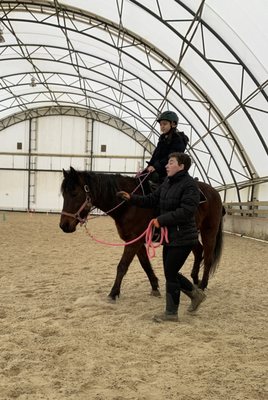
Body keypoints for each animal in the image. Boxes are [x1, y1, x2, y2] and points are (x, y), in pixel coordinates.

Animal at [59, 166, 224, 300]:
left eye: (74, 193)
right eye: (63, 194)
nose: (64, 225)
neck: (128, 205)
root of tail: (215, 193)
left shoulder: (134, 241)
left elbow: (122, 266)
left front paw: (113, 293)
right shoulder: (136, 241)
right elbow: (145, 264)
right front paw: (155, 287)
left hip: (209, 231)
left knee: (208, 257)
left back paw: (203, 284)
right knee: (198, 251)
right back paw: (195, 280)